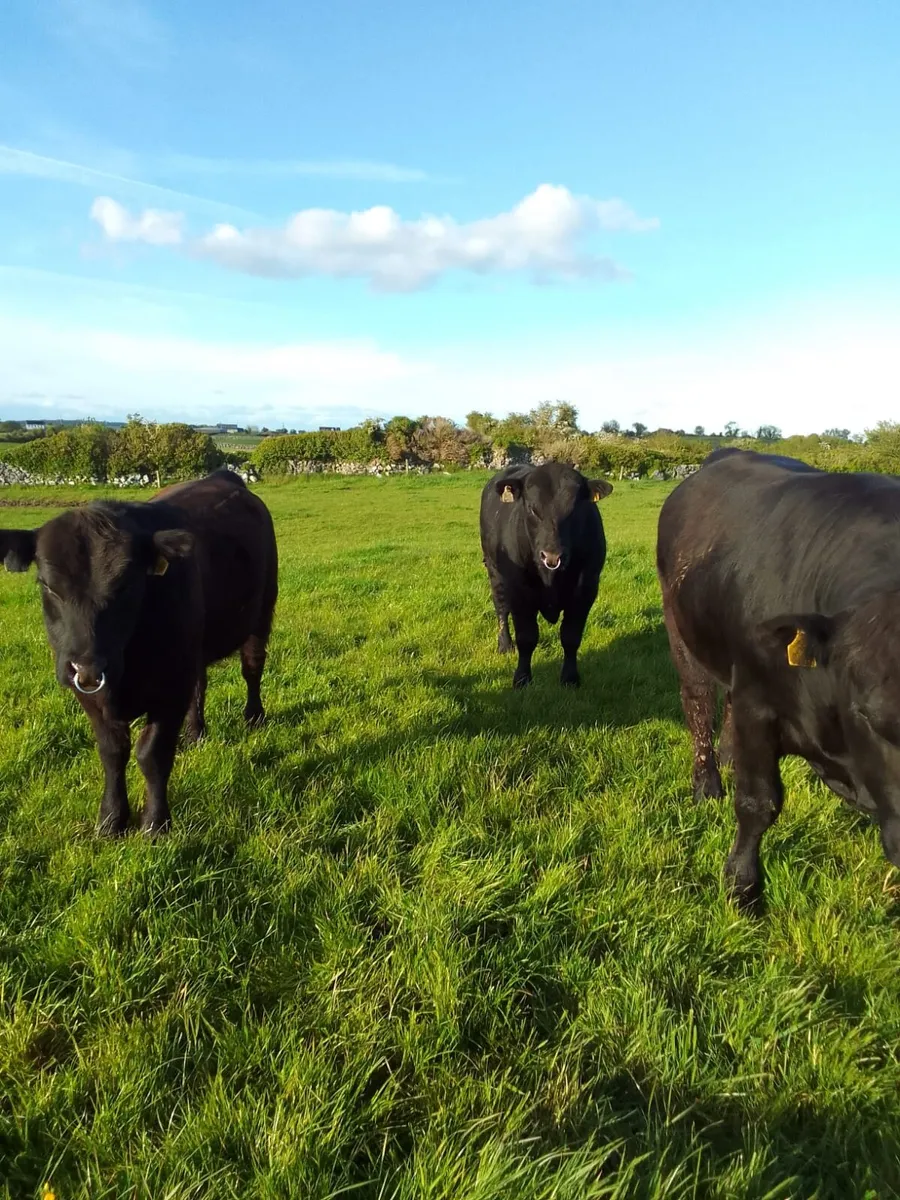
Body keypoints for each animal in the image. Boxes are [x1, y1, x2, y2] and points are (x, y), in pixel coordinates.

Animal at [0, 469, 277, 835]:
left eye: (126, 584)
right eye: (47, 585)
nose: (86, 664)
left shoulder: (170, 688)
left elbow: (152, 754)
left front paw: (156, 823)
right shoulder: (89, 692)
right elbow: (112, 752)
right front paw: (111, 820)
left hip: (261, 612)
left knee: (252, 667)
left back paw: (253, 716)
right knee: (201, 684)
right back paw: (195, 733)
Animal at [480, 463, 612, 688]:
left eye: (574, 510)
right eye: (533, 509)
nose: (552, 556)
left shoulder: (586, 590)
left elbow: (571, 636)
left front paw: (570, 678)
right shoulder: (519, 591)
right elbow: (526, 637)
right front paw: (522, 678)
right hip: (494, 571)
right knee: (501, 609)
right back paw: (505, 645)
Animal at [657, 446, 900, 910]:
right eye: (867, 714)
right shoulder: (758, 704)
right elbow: (757, 803)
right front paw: (741, 887)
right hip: (682, 635)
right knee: (698, 705)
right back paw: (707, 785)